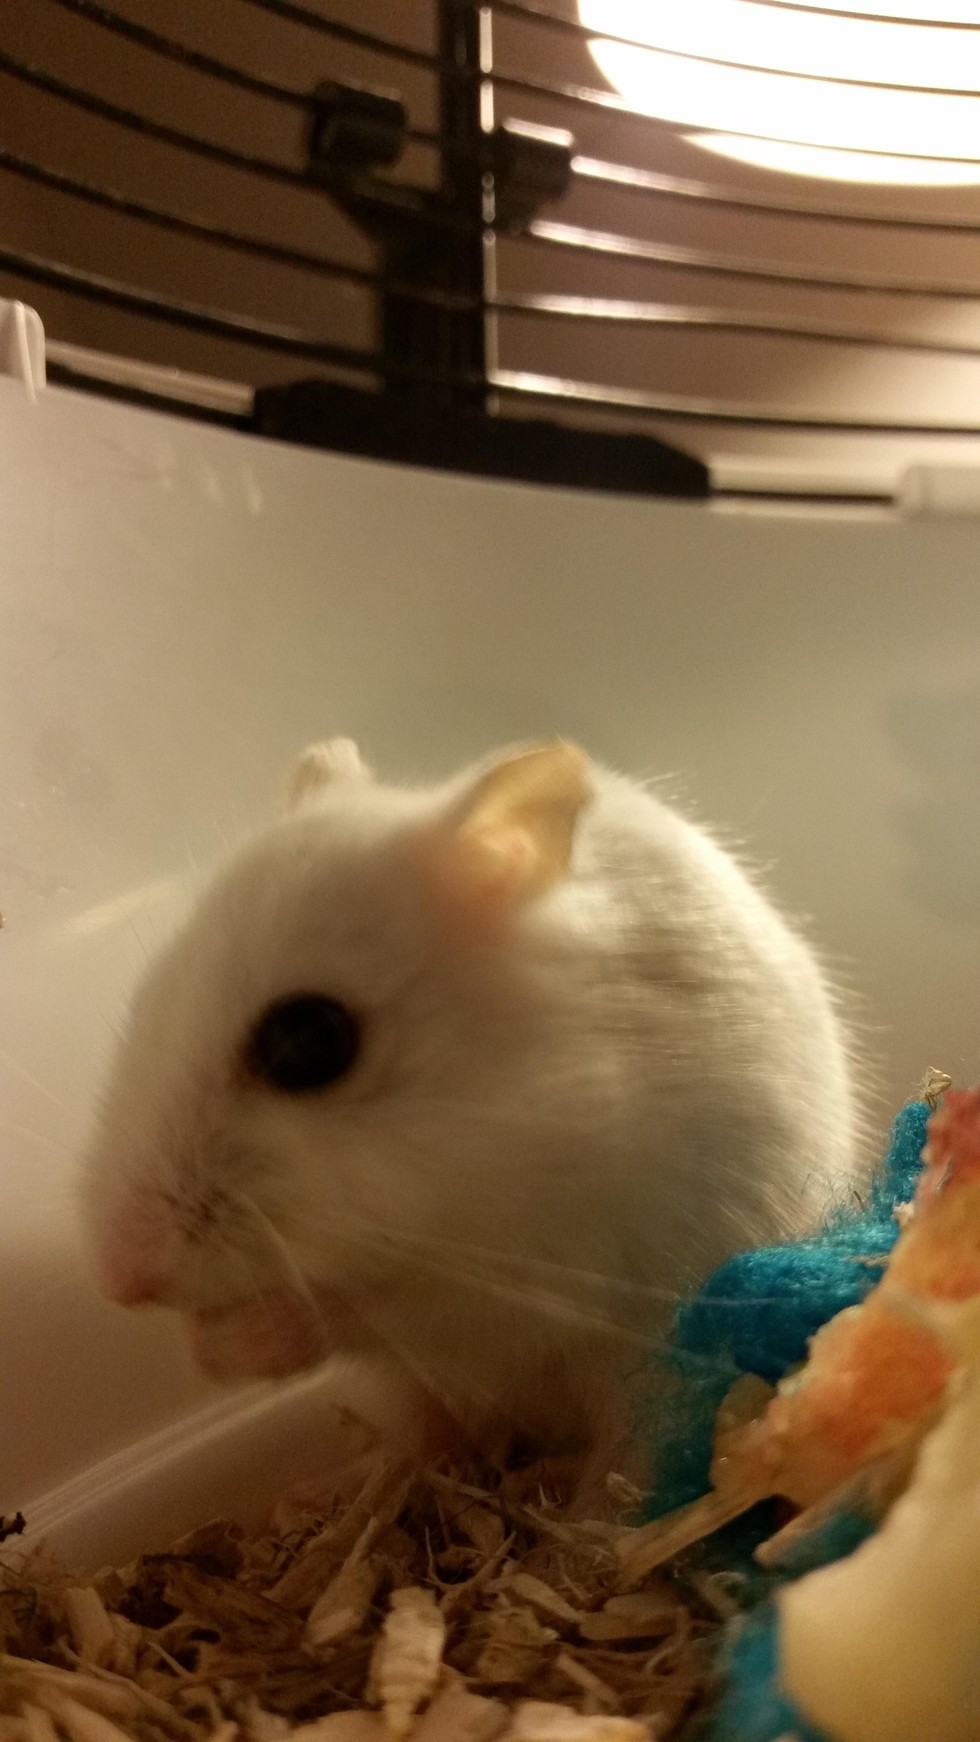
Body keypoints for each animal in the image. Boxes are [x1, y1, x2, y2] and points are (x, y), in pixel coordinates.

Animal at [82, 738, 860, 1467]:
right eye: (150, 997)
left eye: (308, 1041)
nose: (121, 1284)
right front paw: (199, 1349)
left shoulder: (530, 1276)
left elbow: (359, 1314)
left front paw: (233, 1343)